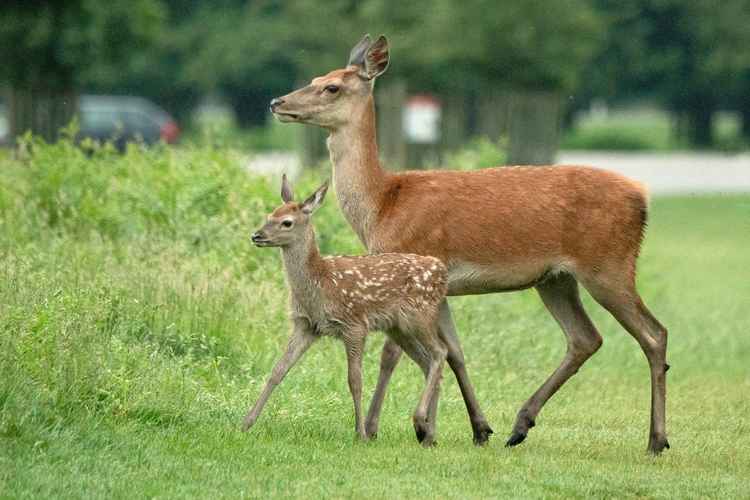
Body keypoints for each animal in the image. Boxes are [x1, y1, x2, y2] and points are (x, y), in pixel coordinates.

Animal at [245, 176, 452, 446]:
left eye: (286, 222)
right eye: (270, 214)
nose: (256, 235)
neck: (319, 285)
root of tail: (442, 272)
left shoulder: (354, 325)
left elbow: (355, 380)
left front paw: (360, 433)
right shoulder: (306, 325)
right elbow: (278, 370)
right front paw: (247, 422)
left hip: (419, 315)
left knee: (440, 352)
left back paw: (420, 421)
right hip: (398, 328)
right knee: (427, 363)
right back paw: (428, 435)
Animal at [268, 33, 668, 452]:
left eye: (332, 87)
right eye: (315, 77)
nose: (278, 102)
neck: (382, 205)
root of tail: (643, 197)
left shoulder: (415, 261)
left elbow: (392, 353)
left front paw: (381, 427)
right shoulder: (437, 287)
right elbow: (454, 352)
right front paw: (472, 428)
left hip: (608, 264)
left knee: (654, 334)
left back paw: (656, 439)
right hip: (556, 279)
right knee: (585, 338)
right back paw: (519, 426)